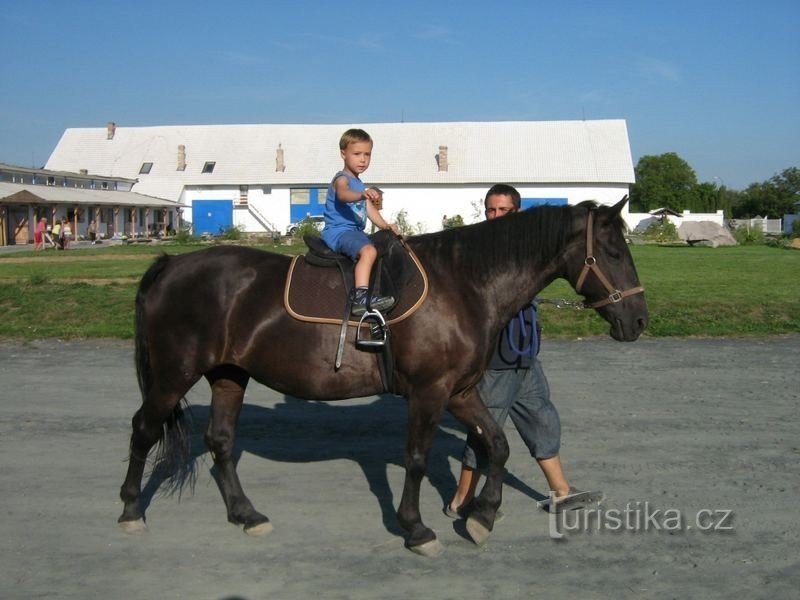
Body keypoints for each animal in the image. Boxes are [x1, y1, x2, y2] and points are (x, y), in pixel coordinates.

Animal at [119, 199, 648, 556]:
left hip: (229, 374)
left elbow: (497, 446)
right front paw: (416, 529)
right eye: (612, 251)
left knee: (221, 442)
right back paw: (130, 510)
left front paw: (482, 516)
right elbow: (416, 459)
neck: (462, 283)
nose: (639, 320)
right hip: (174, 374)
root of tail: (172, 265)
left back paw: (245, 515)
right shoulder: (430, 393)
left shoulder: (460, 391)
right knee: (144, 430)